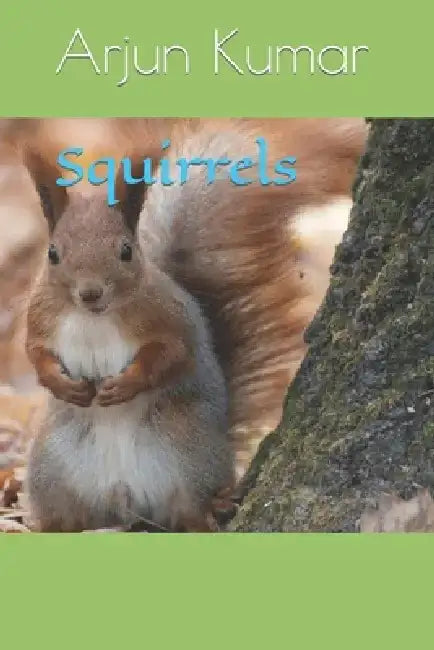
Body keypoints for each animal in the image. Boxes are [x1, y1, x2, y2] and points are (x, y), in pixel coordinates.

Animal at [24, 149, 234, 533]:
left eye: (126, 251)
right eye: (53, 254)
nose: (90, 293)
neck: (94, 317)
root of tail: (124, 495)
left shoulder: (169, 318)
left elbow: (170, 354)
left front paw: (124, 385)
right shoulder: (40, 318)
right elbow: (36, 352)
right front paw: (62, 385)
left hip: (192, 453)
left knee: (190, 506)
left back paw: (210, 511)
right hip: (51, 470)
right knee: (65, 516)